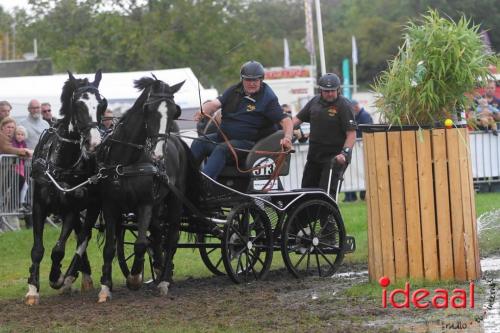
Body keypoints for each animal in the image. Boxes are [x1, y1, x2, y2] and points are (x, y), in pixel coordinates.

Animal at [25, 69, 106, 304]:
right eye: (78, 104)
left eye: (102, 104)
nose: (94, 143)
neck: (61, 165)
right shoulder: (39, 206)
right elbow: (38, 249)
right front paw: (32, 289)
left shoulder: (70, 209)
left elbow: (58, 249)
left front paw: (57, 277)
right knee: (81, 235)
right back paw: (80, 276)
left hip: (94, 205)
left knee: (83, 237)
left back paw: (71, 276)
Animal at [94, 75, 187, 300]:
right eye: (148, 109)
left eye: (175, 111)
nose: (158, 154)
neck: (126, 161)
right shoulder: (110, 205)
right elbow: (110, 247)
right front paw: (105, 286)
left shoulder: (144, 204)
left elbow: (141, 244)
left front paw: (135, 278)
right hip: (157, 204)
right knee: (157, 233)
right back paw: (160, 268)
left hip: (174, 200)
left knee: (171, 236)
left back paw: (164, 280)